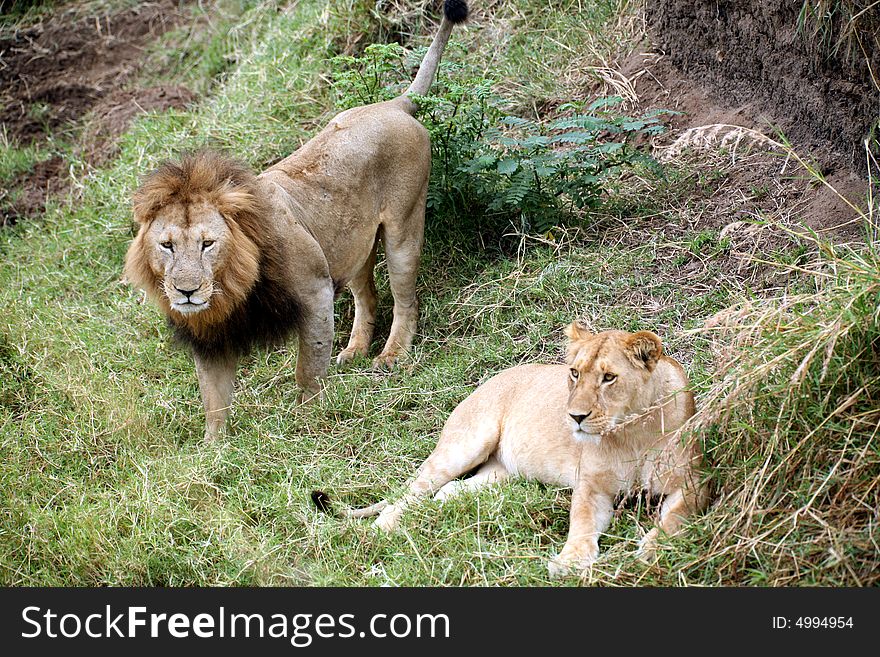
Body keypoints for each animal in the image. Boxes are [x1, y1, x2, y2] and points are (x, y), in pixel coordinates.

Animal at [123, 1, 470, 440]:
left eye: (208, 244)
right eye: (167, 245)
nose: (186, 292)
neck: (230, 288)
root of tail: (393, 105)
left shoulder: (314, 292)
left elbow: (308, 368)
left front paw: (307, 420)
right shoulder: (211, 334)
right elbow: (213, 400)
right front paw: (214, 448)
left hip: (404, 227)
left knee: (406, 299)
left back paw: (392, 357)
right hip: (350, 244)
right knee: (367, 296)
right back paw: (355, 350)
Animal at [312, 322, 712, 576]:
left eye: (609, 377)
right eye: (574, 373)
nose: (575, 416)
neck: (631, 430)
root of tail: (491, 378)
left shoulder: (694, 484)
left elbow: (673, 521)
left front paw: (652, 551)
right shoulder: (591, 486)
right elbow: (581, 523)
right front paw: (570, 561)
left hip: (500, 474)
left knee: (447, 492)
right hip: (466, 444)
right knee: (411, 491)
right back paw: (381, 529)